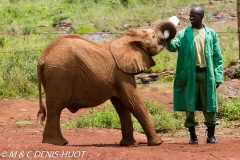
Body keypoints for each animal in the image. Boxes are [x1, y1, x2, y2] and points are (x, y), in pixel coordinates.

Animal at [37, 19, 176, 146]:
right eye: (153, 36)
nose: (166, 38)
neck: (124, 38)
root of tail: (42, 58)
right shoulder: (122, 74)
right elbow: (132, 102)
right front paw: (158, 143)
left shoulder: (117, 77)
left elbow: (121, 107)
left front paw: (128, 144)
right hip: (59, 74)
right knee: (56, 107)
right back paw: (55, 143)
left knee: (56, 109)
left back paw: (62, 142)